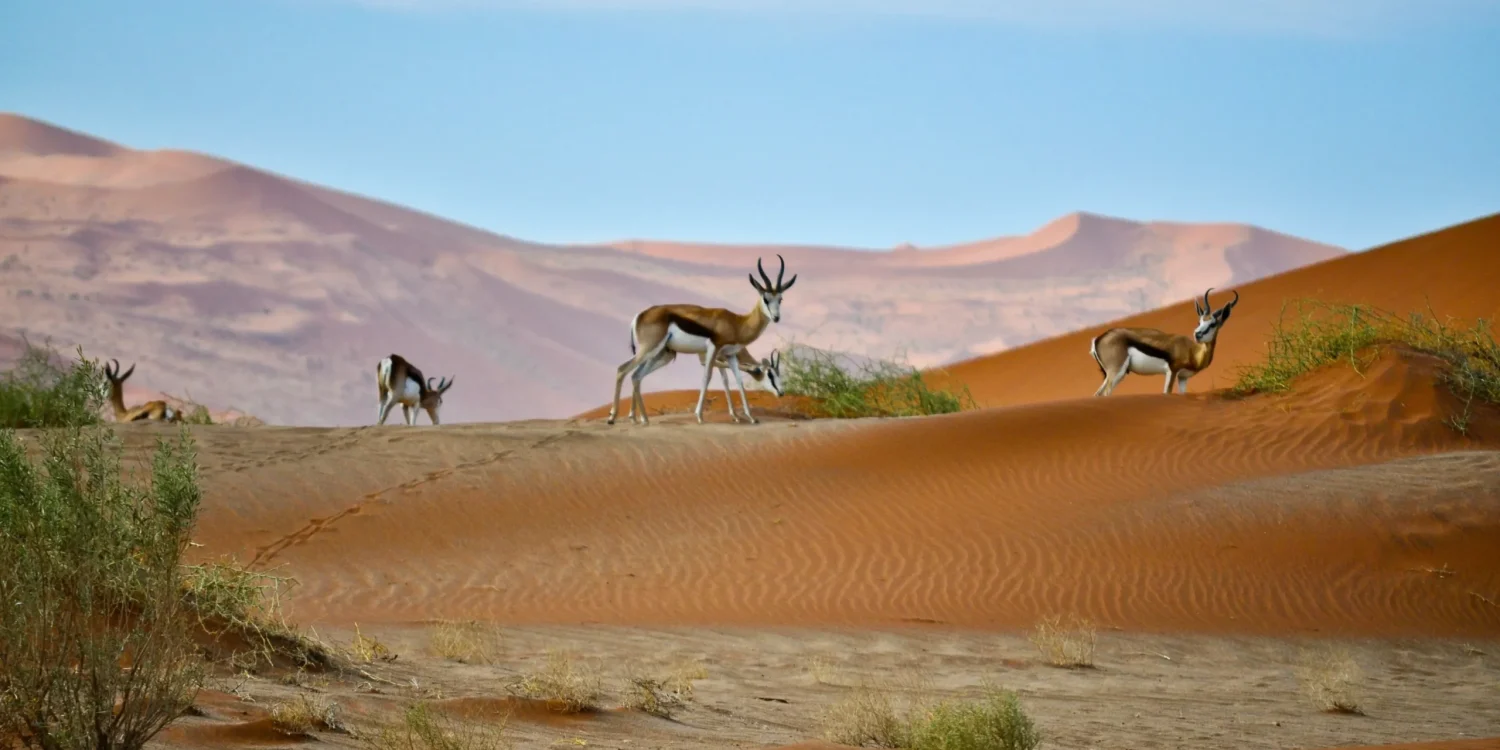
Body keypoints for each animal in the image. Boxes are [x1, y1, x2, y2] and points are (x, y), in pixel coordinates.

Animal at [626, 347, 786, 424]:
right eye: (770, 374)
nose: (781, 393)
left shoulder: (721, 359)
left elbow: (725, 380)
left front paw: (735, 416)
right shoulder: (707, 359)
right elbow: (711, 377)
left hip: (665, 356)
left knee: (636, 373)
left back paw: (634, 417)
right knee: (636, 372)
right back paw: (637, 417)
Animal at [1090, 288, 1240, 396]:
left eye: (1213, 324)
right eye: (1200, 322)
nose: (1197, 334)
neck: (1193, 351)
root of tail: (1098, 339)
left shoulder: (1183, 378)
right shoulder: (1172, 371)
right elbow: (1167, 393)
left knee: (1097, 395)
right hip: (1116, 372)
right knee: (1105, 394)